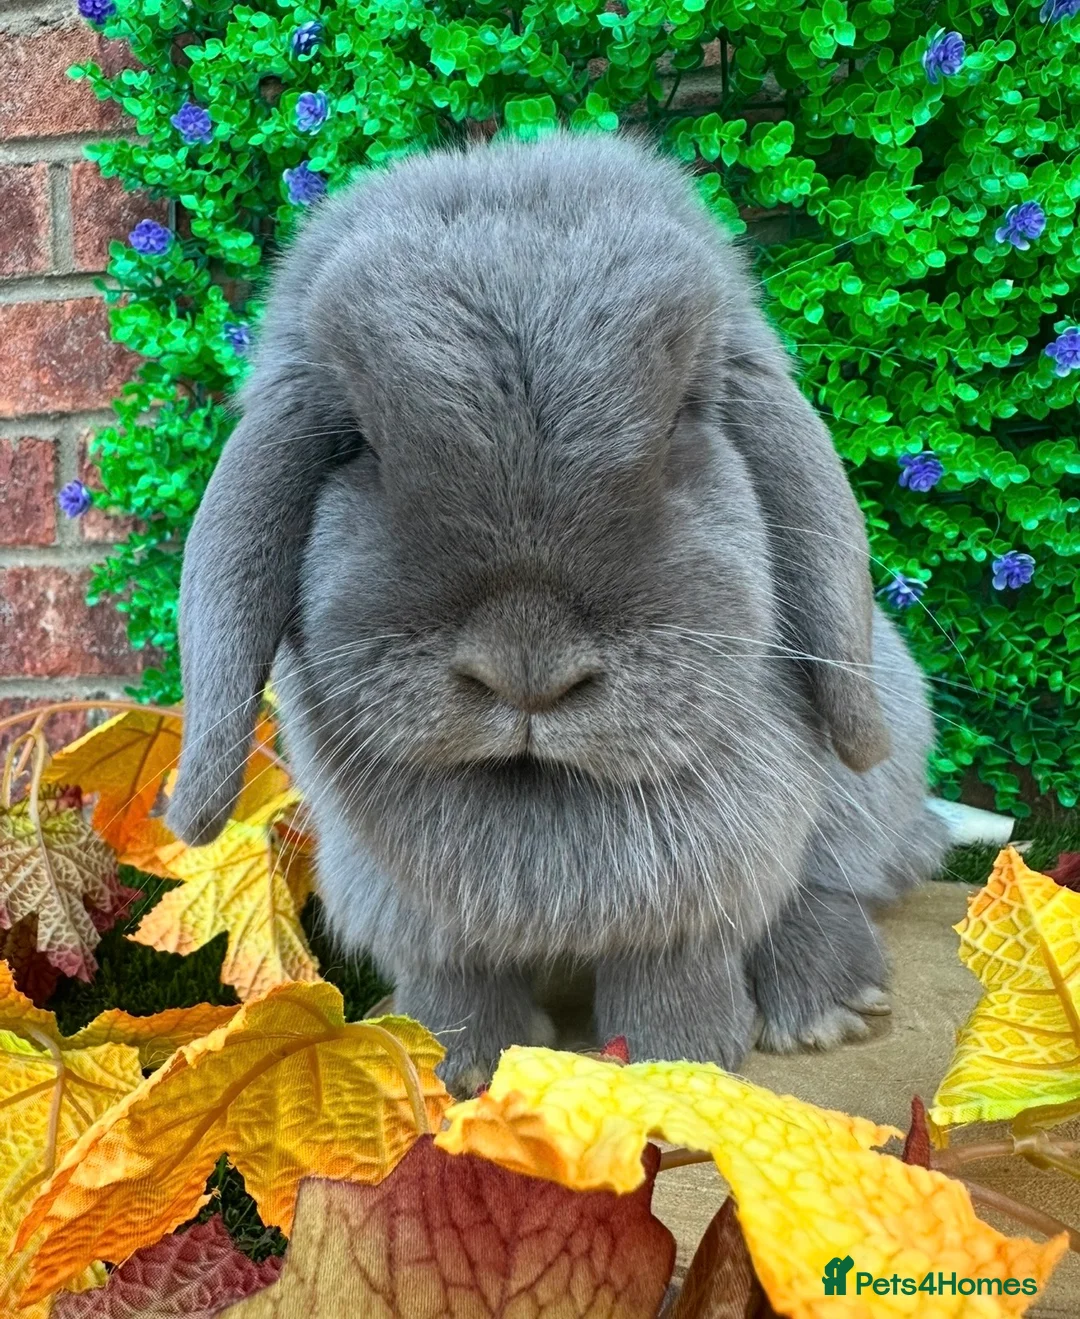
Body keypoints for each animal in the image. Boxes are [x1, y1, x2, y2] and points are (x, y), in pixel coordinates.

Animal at [167, 130, 948, 1094]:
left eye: (680, 423)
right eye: (358, 445)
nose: (526, 668)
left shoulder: (704, 884)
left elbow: (678, 963)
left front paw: (683, 1059)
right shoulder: (413, 913)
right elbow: (454, 980)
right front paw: (459, 1069)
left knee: (831, 879)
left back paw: (824, 1007)